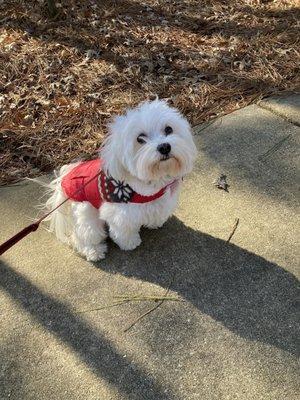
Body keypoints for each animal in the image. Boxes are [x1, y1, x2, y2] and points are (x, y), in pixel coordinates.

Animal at [45, 101, 197, 260]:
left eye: (169, 129)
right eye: (140, 138)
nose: (164, 146)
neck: (152, 181)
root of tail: (65, 180)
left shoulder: (157, 201)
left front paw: (155, 223)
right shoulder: (120, 213)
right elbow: (123, 230)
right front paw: (130, 243)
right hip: (86, 212)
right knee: (84, 235)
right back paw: (94, 251)